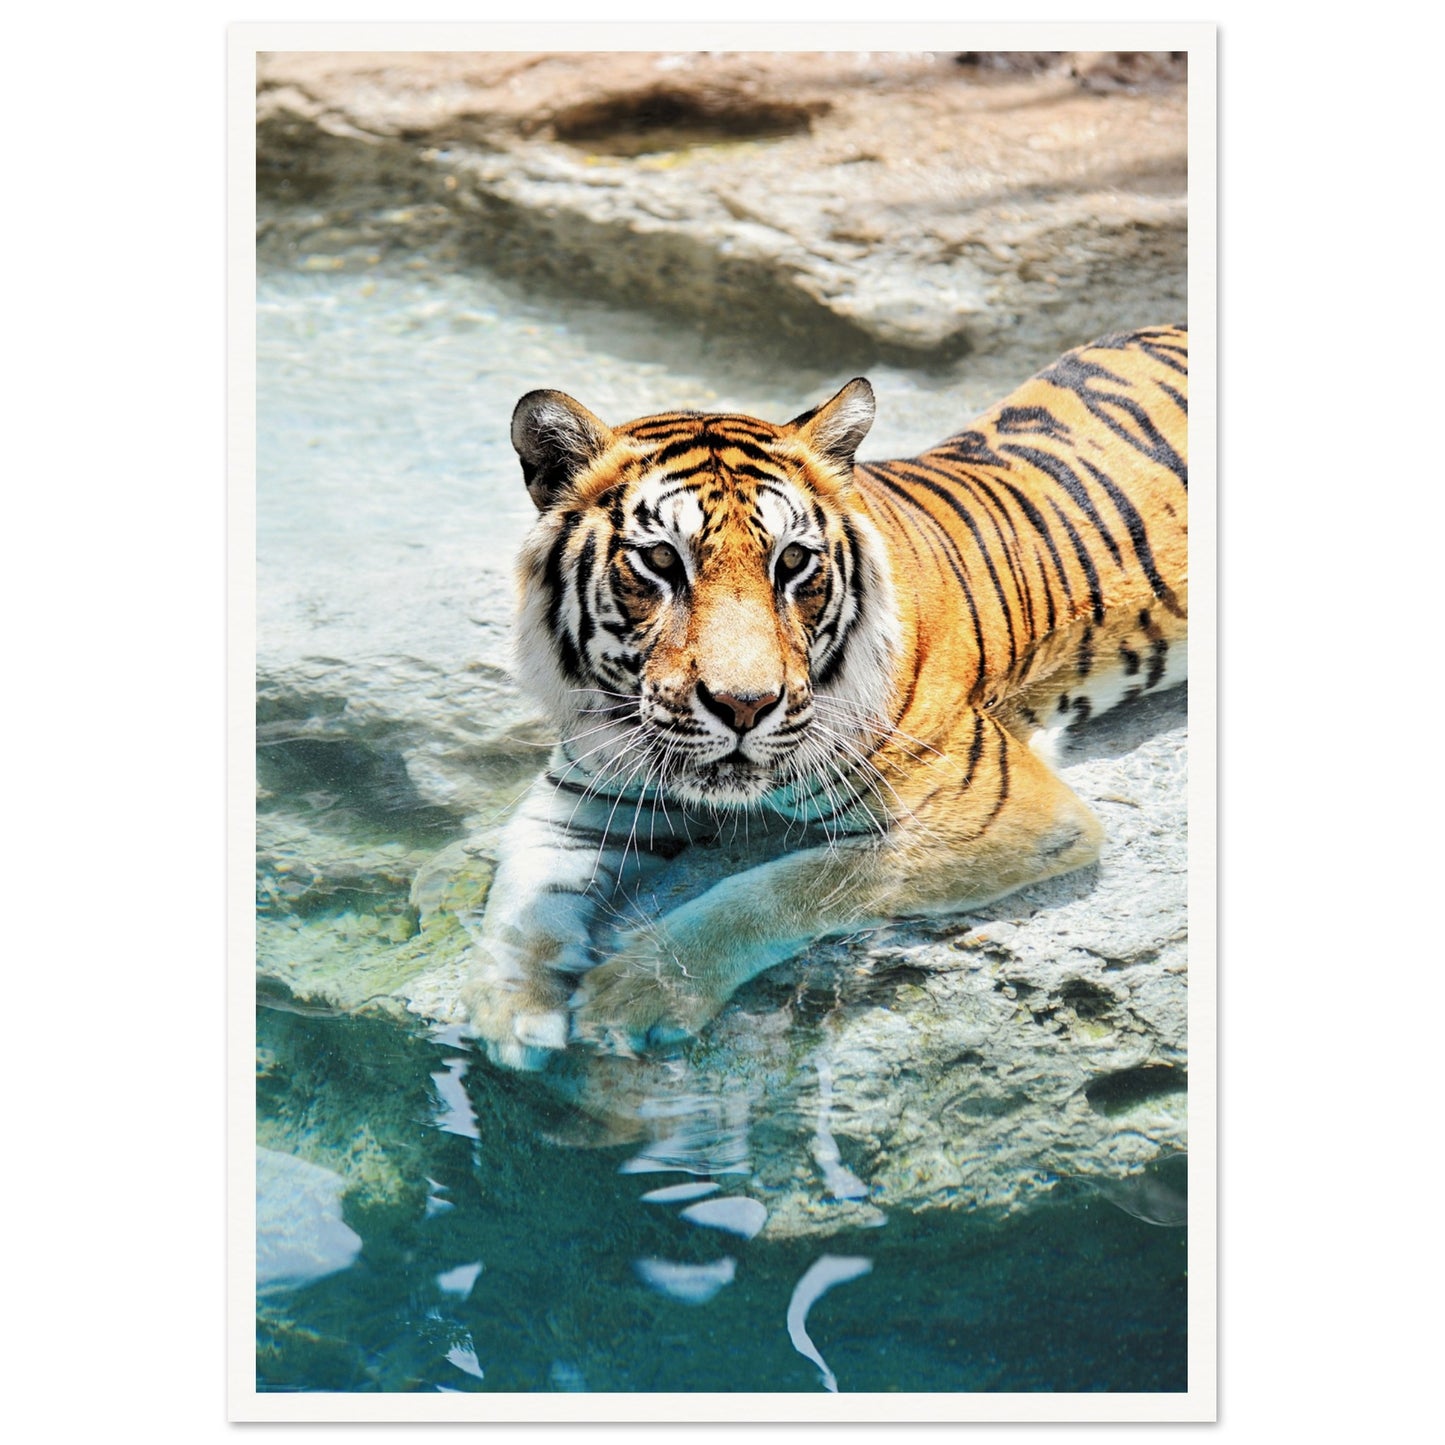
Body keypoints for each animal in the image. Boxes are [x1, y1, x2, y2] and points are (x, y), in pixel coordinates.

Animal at [461, 325, 1188, 1070]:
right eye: (661, 560)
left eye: (792, 561)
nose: (744, 705)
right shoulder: (582, 794)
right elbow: (521, 894)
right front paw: (507, 1010)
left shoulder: (1002, 814)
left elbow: (781, 886)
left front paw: (639, 989)